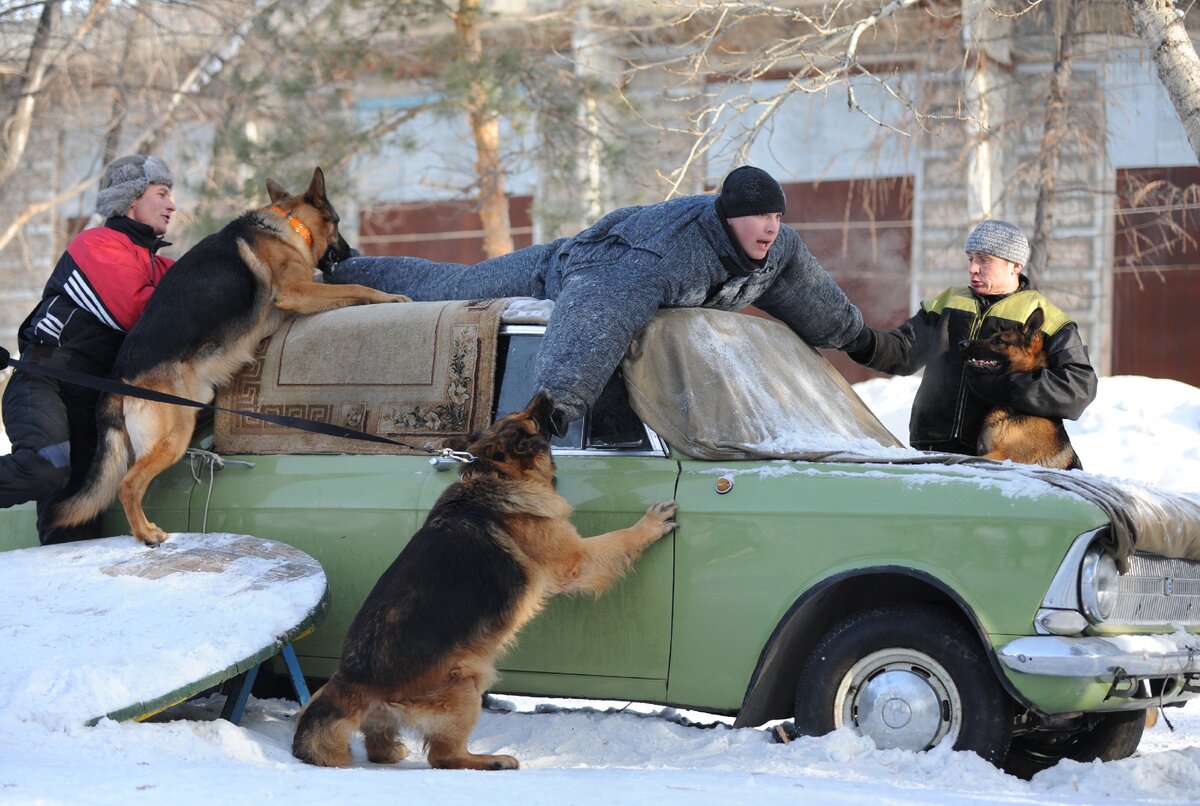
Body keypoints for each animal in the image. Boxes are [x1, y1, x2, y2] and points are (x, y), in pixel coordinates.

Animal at [54, 170, 410, 546]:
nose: (351, 252)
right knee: (128, 484)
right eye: (339, 222)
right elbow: (355, 288)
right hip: (174, 436)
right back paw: (147, 533)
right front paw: (391, 297)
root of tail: (118, 379)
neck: (289, 224)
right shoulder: (298, 292)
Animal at [292, 393, 676, 772]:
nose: (545, 393)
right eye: (529, 417)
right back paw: (493, 760)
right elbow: (618, 539)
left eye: (517, 411)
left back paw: (392, 751)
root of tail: (352, 680)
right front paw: (650, 524)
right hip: (468, 679)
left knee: (380, 747)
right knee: (444, 757)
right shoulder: (577, 561)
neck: (497, 474)